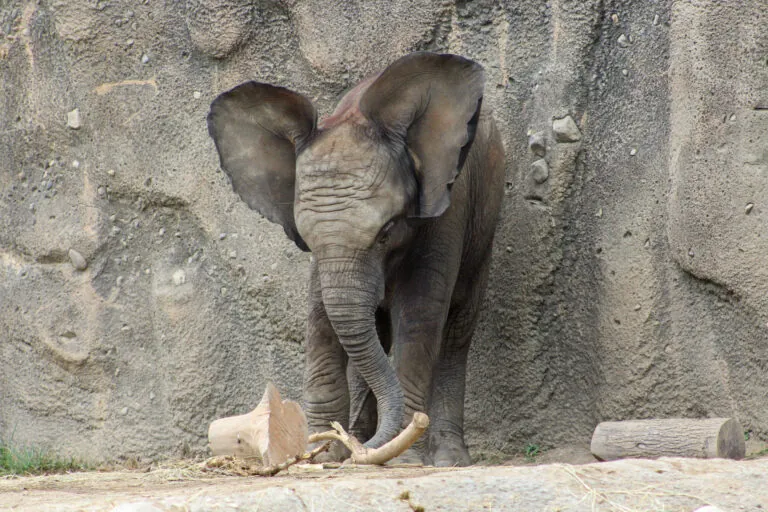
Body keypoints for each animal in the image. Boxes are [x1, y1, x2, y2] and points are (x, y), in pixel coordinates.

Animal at [207, 52, 505, 466]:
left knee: (456, 327)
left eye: (387, 231)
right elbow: (321, 317)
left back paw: (444, 457)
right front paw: (319, 453)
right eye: (306, 240)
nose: (352, 450)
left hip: (487, 213)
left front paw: (402, 458)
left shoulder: (447, 207)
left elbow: (420, 312)